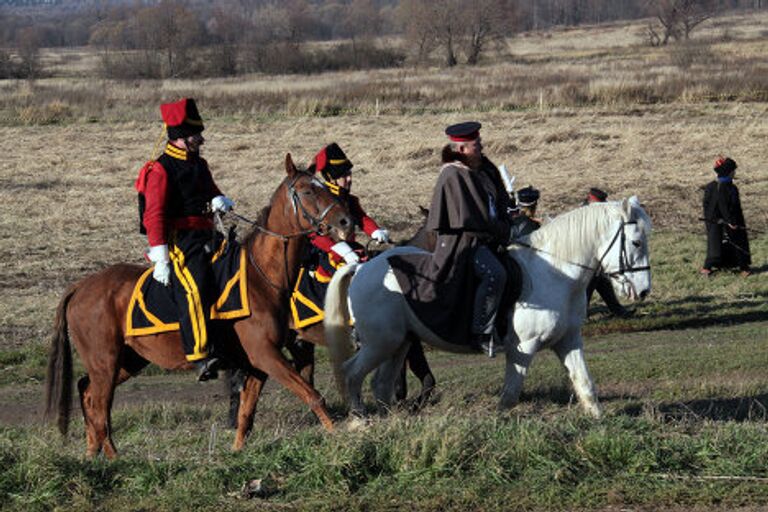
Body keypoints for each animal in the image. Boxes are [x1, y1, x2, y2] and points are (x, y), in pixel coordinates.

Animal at [45, 154, 352, 458]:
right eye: (308, 191)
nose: (345, 221)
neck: (260, 276)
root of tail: (81, 286)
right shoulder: (265, 354)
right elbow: (313, 395)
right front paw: (342, 438)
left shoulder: (258, 361)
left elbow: (246, 414)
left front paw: (236, 452)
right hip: (105, 362)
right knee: (99, 406)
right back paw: (111, 457)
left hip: (128, 360)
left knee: (88, 392)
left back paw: (93, 453)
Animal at [320, 198, 652, 418]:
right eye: (636, 242)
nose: (644, 290)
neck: (556, 272)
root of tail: (362, 267)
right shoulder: (523, 348)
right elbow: (510, 394)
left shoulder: (568, 341)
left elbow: (585, 384)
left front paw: (598, 422)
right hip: (380, 343)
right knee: (352, 374)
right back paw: (360, 421)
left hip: (398, 343)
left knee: (381, 384)